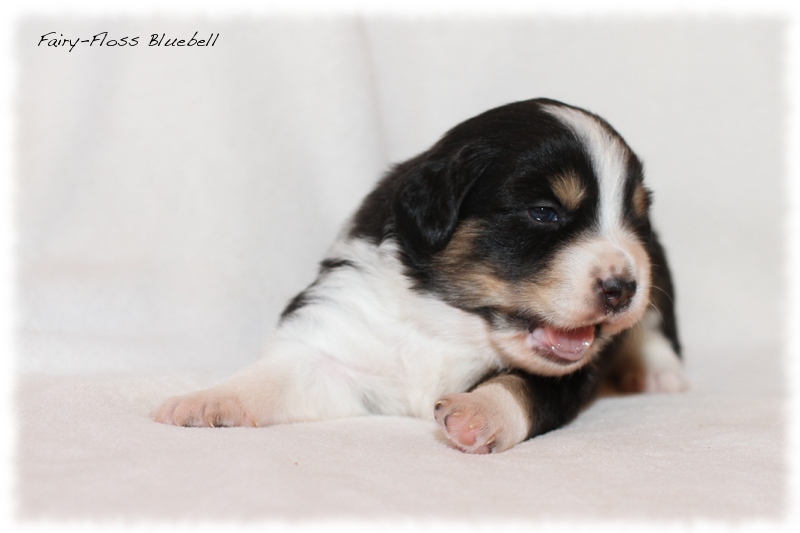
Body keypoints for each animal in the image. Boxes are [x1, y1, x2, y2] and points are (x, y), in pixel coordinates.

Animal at [155, 97, 688, 450]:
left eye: (634, 218)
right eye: (544, 212)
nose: (623, 289)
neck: (448, 324)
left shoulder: (571, 374)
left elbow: (521, 387)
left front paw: (477, 413)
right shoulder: (336, 338)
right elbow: (275, 377)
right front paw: (205, 402)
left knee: (654, 326)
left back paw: (659, 372)